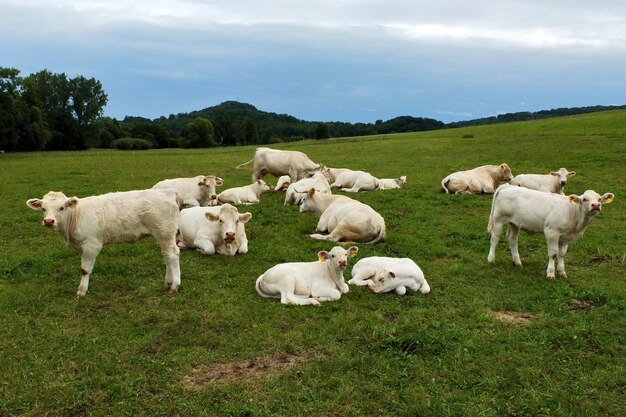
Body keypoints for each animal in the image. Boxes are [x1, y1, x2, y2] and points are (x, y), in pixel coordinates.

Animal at [26, 188, 180, 296]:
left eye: (61, 208)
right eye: (43, 209)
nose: (49, 221)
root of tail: (168, 192)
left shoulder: (91, 245)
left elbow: (85, 270)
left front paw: (81, 291)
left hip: (165, 232)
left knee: (172, 255)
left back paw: (175, 286)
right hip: (163, 235)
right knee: (167, 256)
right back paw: (168, 282)